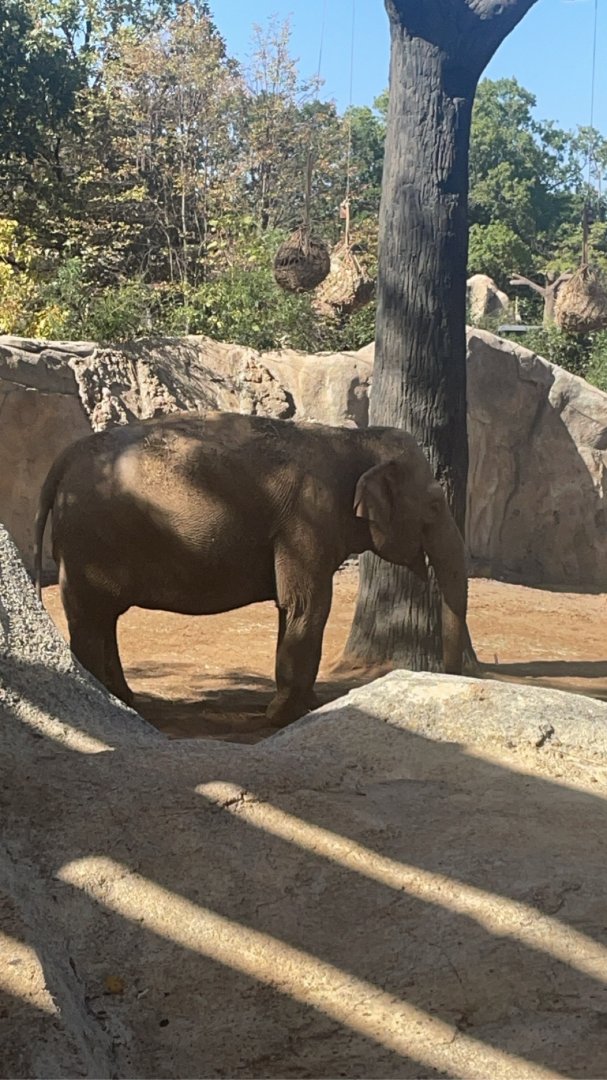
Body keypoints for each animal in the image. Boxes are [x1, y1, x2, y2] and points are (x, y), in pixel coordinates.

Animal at [34, 411, 467, 725]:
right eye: (434, 506)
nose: (453, 674)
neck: (352, 439)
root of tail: (63, 459)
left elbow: (292, 609)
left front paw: (309, 706)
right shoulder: (307, 518)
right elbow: (307, 606)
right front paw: (282, 716)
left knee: (102, 618)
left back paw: (124, 699)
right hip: (89, 540)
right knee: (90, 617)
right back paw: (110, 703)